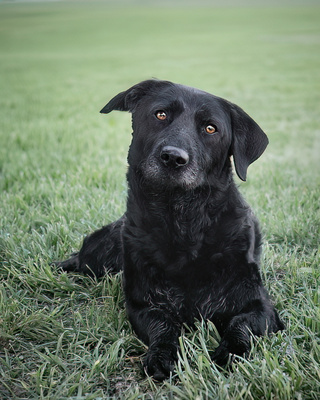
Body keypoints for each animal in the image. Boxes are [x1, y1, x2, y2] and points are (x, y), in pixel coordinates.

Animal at [57, 79, 282, 380]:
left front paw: (229, 354)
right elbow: (163, 326)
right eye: (161, 114)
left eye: (210, 128)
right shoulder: (142, 305)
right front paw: (162, 355)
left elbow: (241, 325)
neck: (183, 224)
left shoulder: (260, 307)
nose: (173, 158)